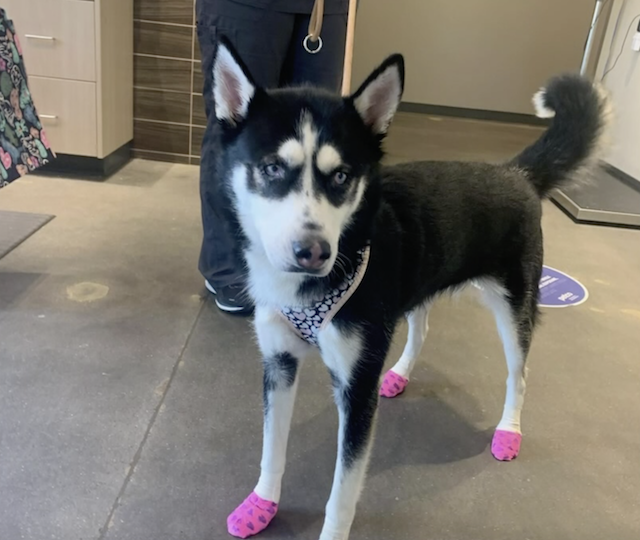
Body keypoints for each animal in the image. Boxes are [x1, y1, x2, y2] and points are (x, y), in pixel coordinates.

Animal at [210, 38, 608, 540]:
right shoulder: (278, 364)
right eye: (271, 168)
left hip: (516, 306)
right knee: (422, 328)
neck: (311, 286)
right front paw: (262, 503)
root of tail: (514, 174)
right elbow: (271, 449)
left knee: (519, 373)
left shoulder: (356, 387)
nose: (313, 252)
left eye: (341, 176)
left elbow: (342, 491)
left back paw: (509, 430)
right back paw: (399, 374)